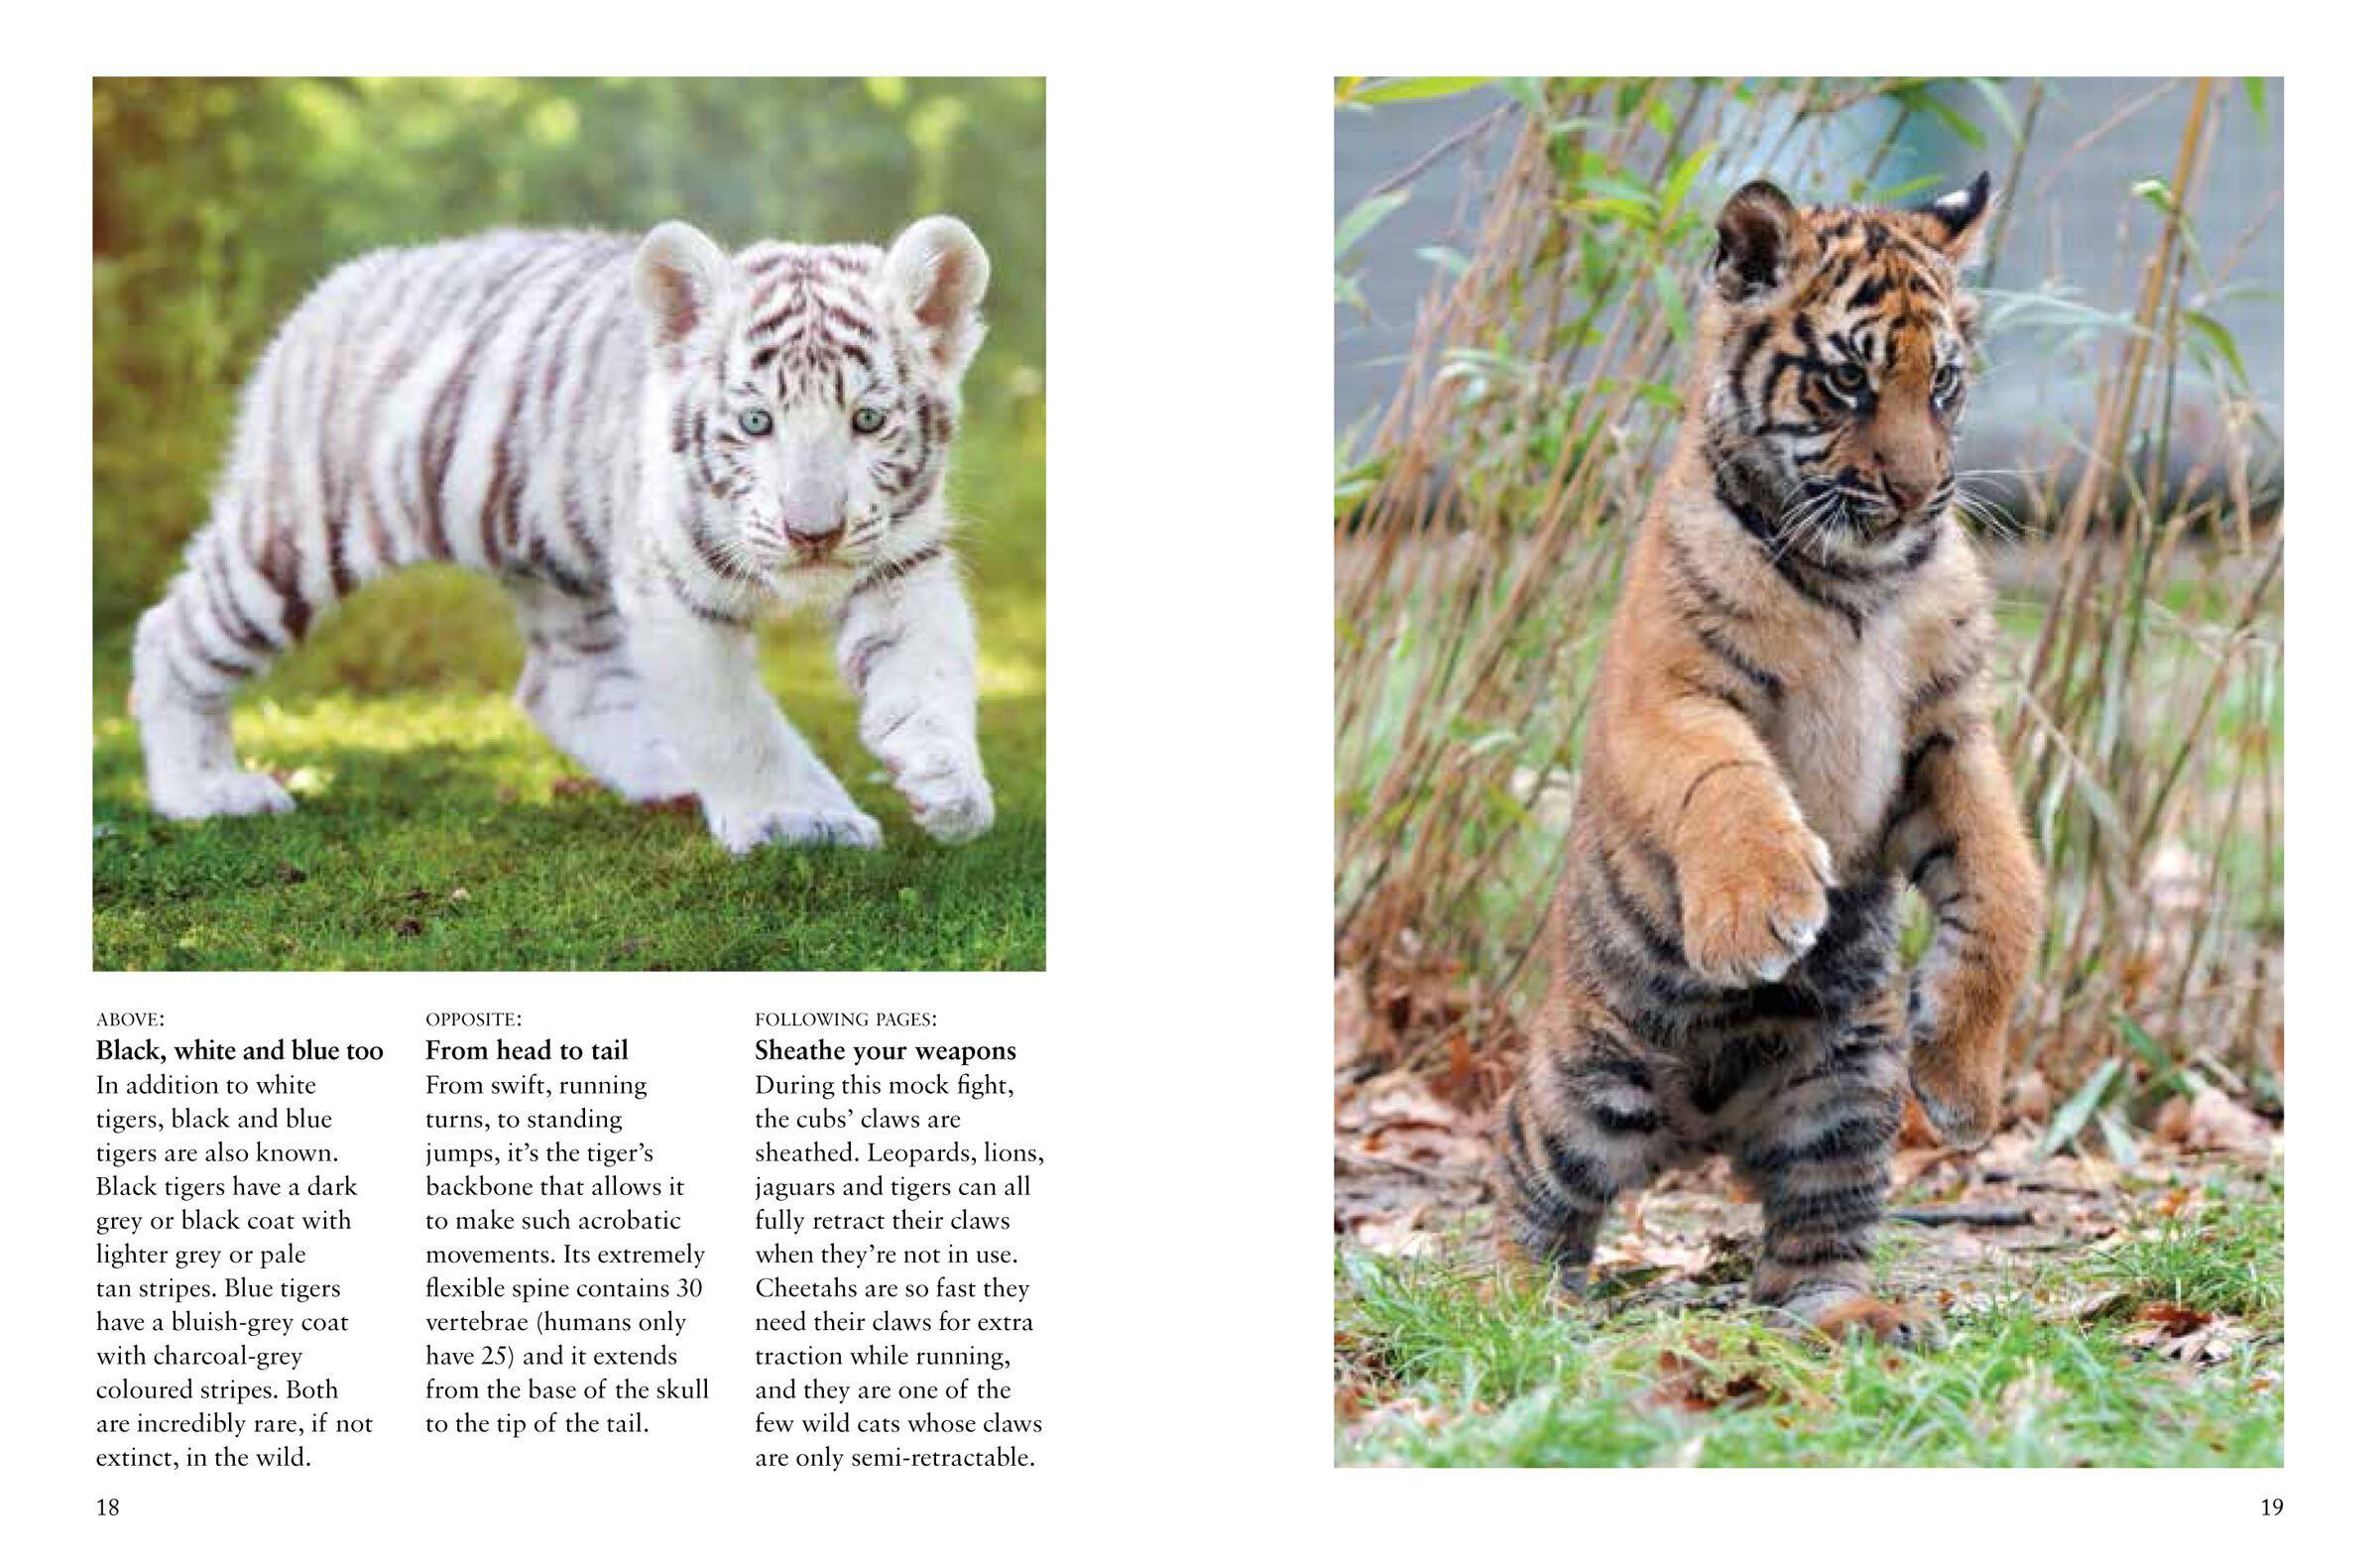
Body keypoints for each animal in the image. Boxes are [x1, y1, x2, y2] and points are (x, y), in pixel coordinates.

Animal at [129, 216, 998, 854]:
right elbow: (736, 721)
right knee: (173, 632)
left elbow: (929, 674)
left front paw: (945, 781)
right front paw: (794, 818)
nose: (812, 533)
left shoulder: (903, 563)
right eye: (757, 423)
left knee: (564, 685)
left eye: (868, 419)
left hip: (557, 560)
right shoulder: (673, 591)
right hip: (297, 535)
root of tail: (335, 287)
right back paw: (205, 791)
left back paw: (666, 772)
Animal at [1496, 173, 2044, 1343]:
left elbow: (2011, 885)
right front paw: (1757, 914)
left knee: (1807, 1245)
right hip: (1584, 1083)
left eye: (1945, 384)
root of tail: (1697, 1131)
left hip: (1846, 1094)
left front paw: (1966, 1083)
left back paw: (1856, 1315)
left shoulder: (1948, 732)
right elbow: (1728, 783)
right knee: (1530, 1184)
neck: (1861, 577)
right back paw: (1505, 1305)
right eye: (1847, 381)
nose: (1919, 494)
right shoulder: (1671, 695)